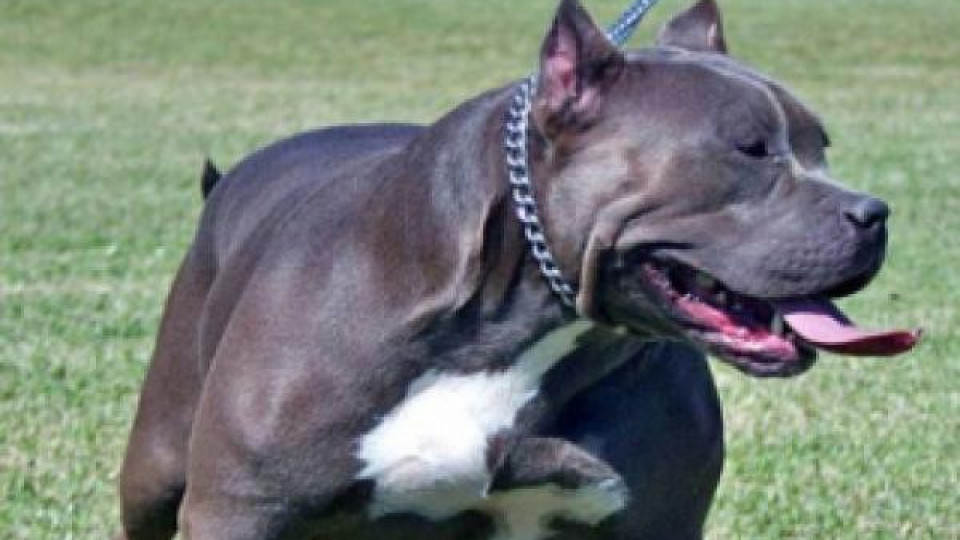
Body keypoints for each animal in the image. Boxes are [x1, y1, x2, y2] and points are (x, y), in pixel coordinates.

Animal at [117, 1, 918, 538]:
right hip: (154, 469)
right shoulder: (241, 511)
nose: (874, 214)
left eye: (820, 147)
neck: (505, 330)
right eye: (749, 149)